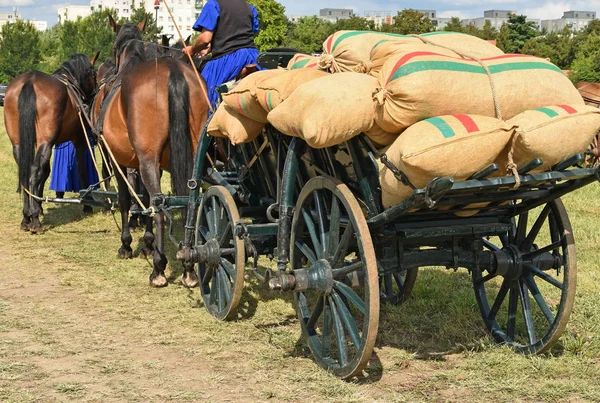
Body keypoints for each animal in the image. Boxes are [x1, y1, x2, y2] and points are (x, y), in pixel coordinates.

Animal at [3, 52, 98, 234]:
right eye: (93, 73)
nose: (95, 92)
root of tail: (30, 81)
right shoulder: (79, 139)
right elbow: (81, 170)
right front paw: (87, 205)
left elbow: (45, 171)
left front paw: (39, 205)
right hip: (46, 142)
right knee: (34, 171)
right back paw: (34, 219)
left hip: (19, 144)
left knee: (26, 171)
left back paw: (26, 217)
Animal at [98, 15, 209, 288]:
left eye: (114, 47)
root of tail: (174, 71)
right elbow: (144, 200)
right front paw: (147, 244)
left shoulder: (120, 160)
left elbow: (128, 200)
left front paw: (127, 245)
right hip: (193, 157)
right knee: (189, 204)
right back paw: (188, 266)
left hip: (146, 160)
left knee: (159, 209)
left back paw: (158, 269)